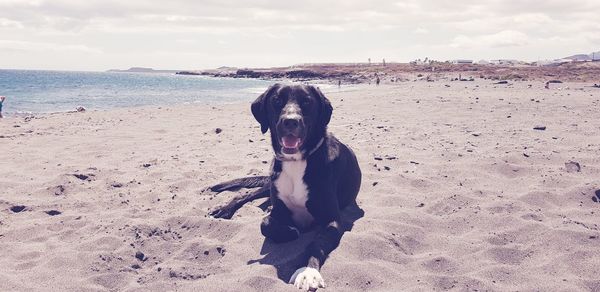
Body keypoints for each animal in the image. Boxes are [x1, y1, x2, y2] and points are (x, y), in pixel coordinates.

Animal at [209, 83, 364, 290]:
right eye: (276, 100)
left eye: (306, 101)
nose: (290, 122)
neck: (297, 162)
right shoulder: (278, 208)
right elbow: (265, 224)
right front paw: (290, 230)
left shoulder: (332, 220)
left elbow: (317, 243)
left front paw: (308, 271)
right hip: (269, 181)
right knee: (245, 195)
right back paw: (225, 209)